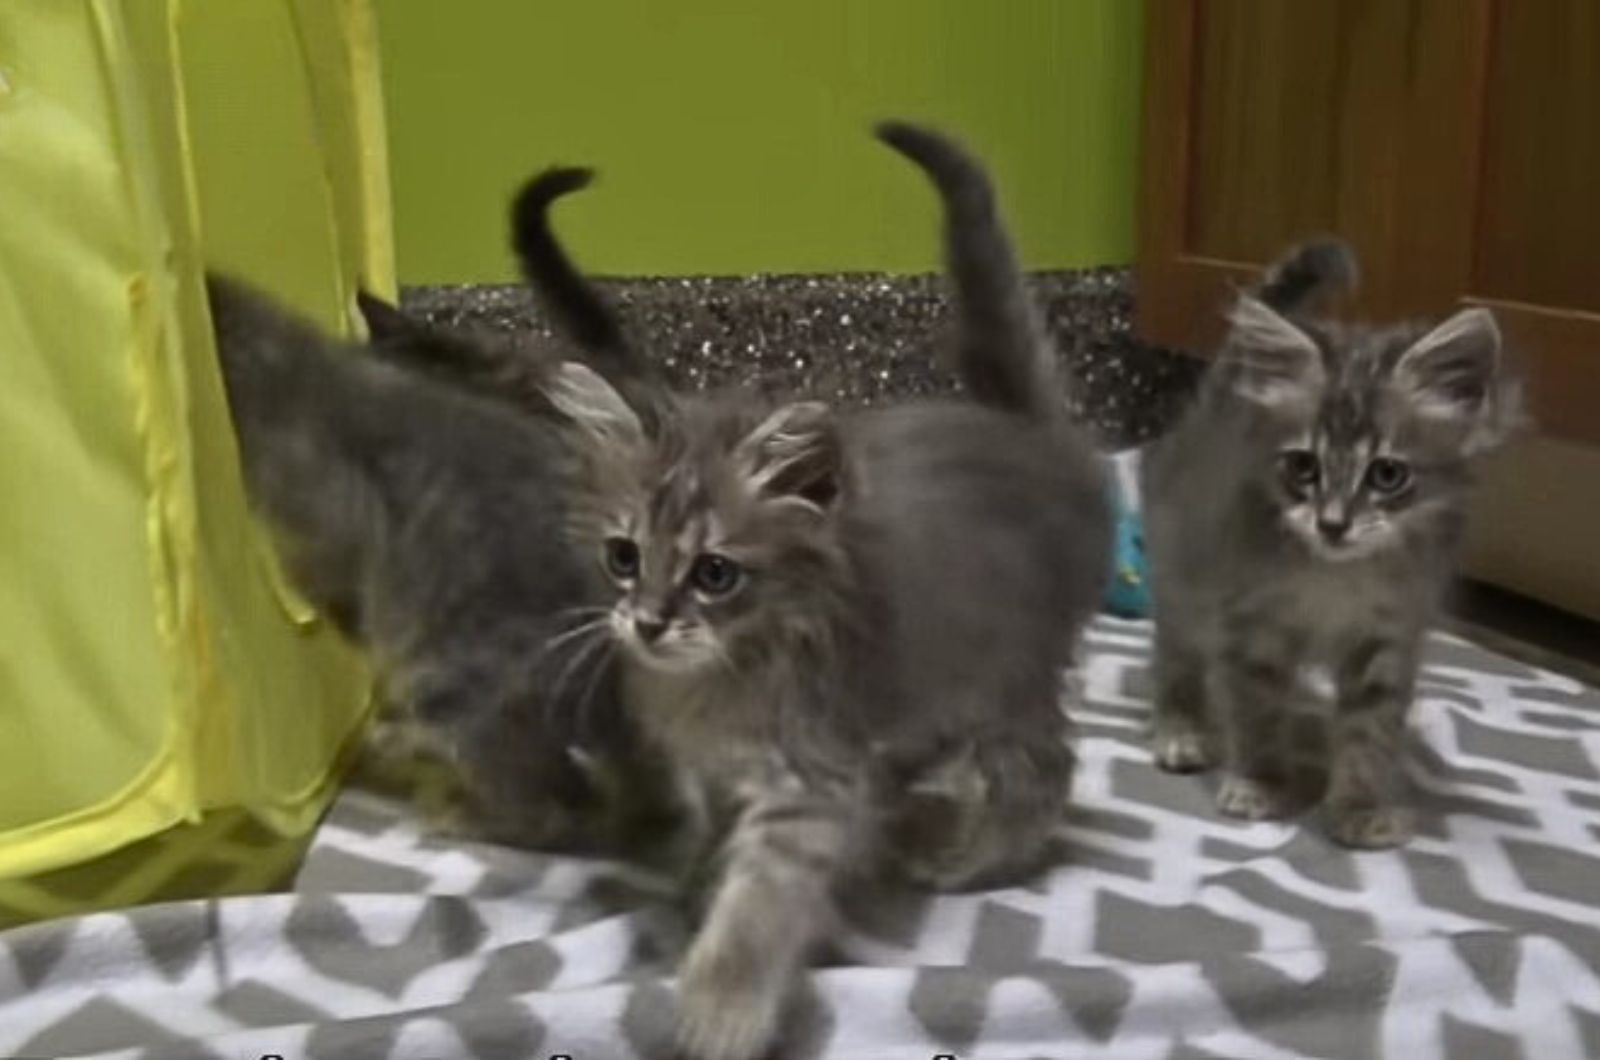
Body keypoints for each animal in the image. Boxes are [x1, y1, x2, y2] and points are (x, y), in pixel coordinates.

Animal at [1139, 238, 1523, 845]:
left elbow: (1368, 733)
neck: (1336, 576)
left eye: (1387, 474)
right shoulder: (1250, 622)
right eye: (1304, 467)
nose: (1333, 523)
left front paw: (1357, 808)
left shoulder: (1389, 636)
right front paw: (1262, 783)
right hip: (1182, 571)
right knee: (1177, 654)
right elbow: (1258, 713)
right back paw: (1182, 728)